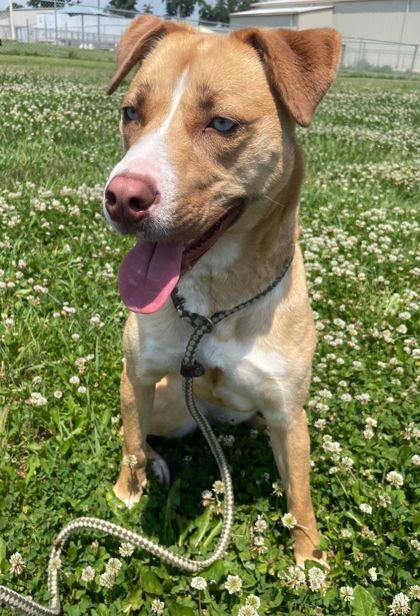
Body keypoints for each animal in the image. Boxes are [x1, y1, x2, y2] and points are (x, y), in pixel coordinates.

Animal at [104, 14, 342, 564]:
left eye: (223, 125)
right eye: (131, 112)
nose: (121, 198)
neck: (213, 307)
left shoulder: (288, 414)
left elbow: (300, 496)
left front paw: (311, 561)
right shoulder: (139, 374)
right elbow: (130, 442)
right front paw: (127, 495)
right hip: (169, 406)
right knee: (140, 431)